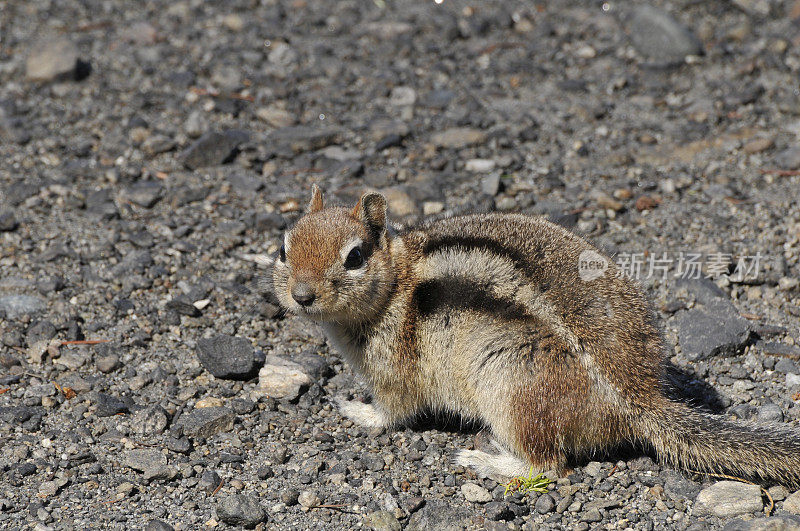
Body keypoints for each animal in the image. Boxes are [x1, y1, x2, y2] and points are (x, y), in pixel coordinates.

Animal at [274, 185, 800, 488]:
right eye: (283, 247)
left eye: (355, 257)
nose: (301, 295)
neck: (396, 284)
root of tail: (638, 397)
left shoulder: (393, 373)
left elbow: (391, 413)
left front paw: (356, 410)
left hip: (511, 386)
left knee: (547, 466)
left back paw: (485, 460)